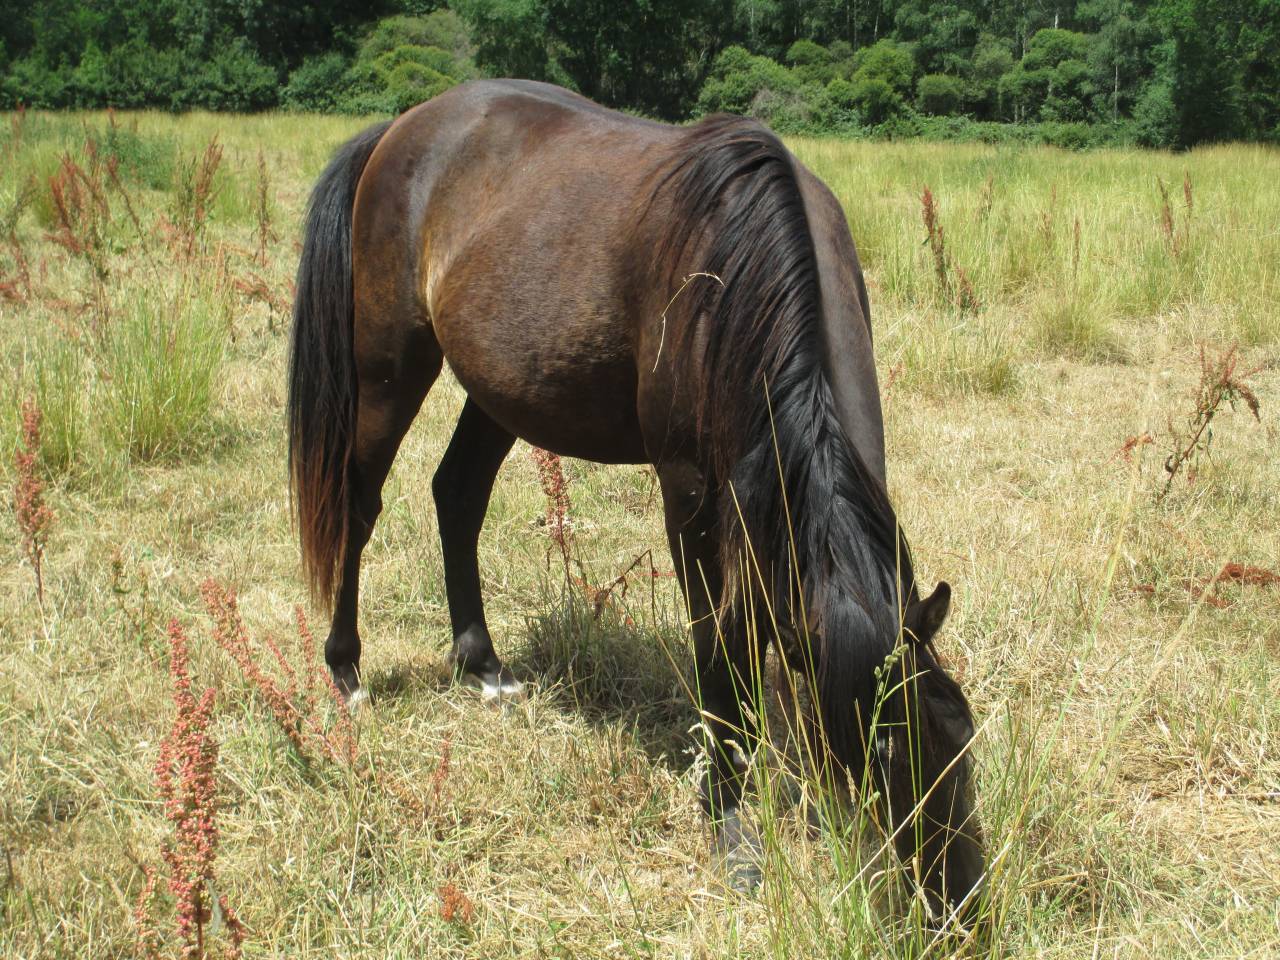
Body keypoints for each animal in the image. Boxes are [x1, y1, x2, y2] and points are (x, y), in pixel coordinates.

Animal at [288, 78, 984, 920]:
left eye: (963, 740)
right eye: (881, 752)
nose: (960, 907)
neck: (737, 267)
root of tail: (401, 129)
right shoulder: (691, 494)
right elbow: (721, 644)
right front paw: (730, 815)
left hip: (500, 389)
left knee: (457, 495)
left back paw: (482, 666)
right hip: (388, 365)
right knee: (357, 507)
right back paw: (346, 671)